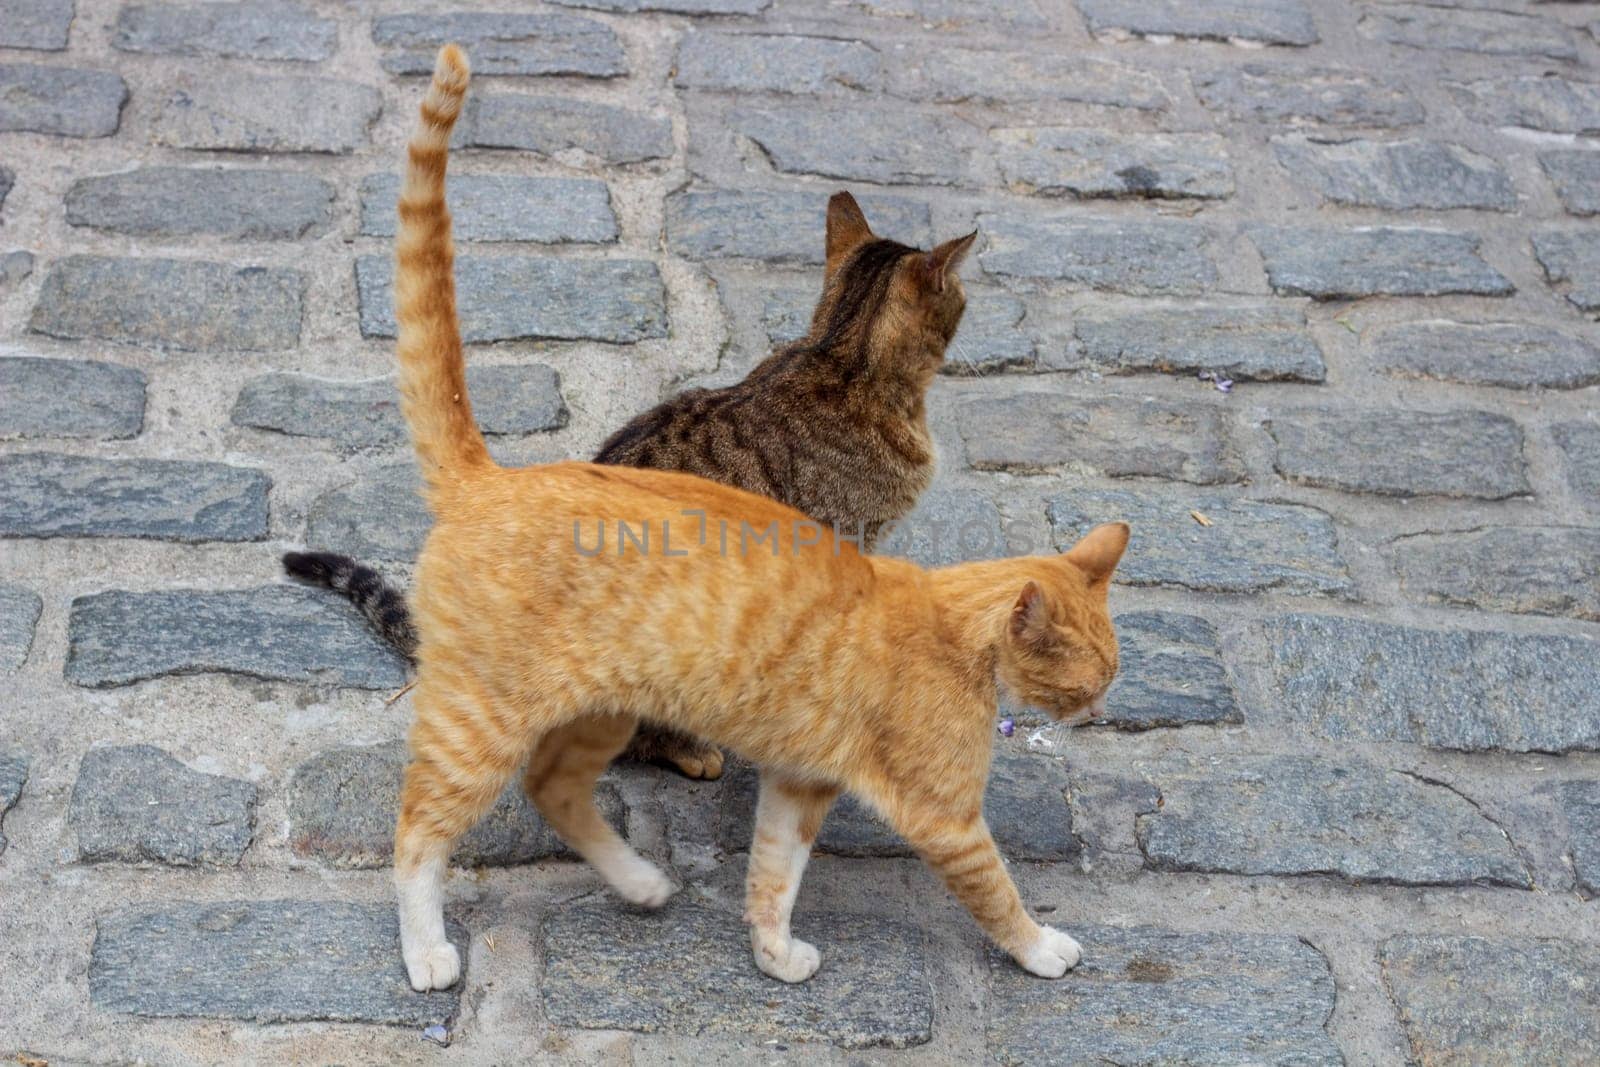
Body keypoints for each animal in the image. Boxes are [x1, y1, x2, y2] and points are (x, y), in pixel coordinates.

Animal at [393, 49, 1132, 998]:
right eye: (1093, 677)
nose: (1101, 711)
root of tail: (493, 477)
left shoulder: (800, 780)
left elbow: (774, 875)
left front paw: (774, 952)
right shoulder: (943, 815)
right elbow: (996, 891)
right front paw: (1042, 946)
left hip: (598, 711)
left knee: (552, 787)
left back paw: (640, 880)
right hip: (480, 724)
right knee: (418, 831)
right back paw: (427, 948)